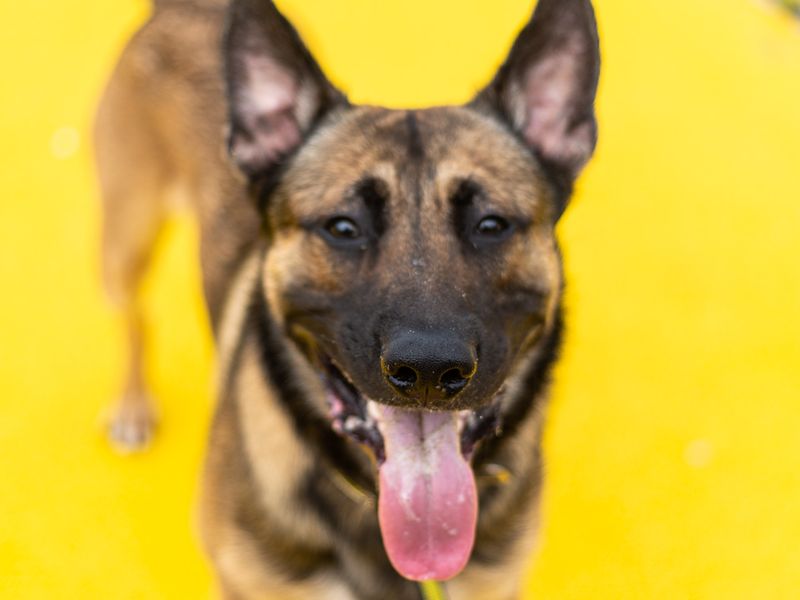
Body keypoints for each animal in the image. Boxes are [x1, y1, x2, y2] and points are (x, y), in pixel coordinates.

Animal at [95, 0, 600, 596]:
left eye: (491, 224)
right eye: (342, 227)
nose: (428, 371)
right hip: (127, 238)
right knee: (134, 318)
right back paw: (132, 404)